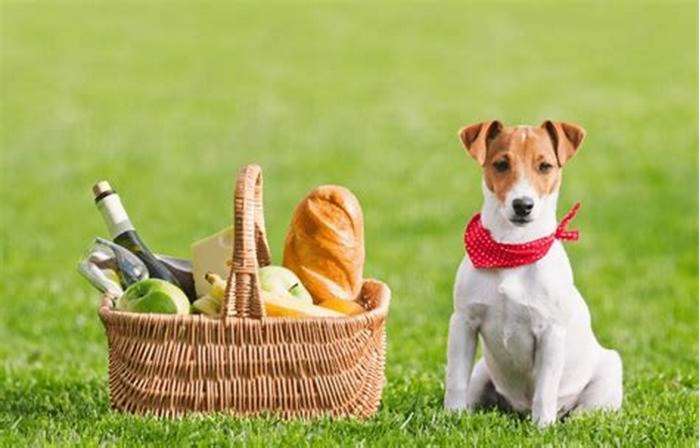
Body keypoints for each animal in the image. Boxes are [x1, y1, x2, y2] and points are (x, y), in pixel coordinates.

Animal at [442, 120, 624, 428]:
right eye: (501, 164)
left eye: (545, 166)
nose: (523, 205)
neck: (513, 249)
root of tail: (518, 410)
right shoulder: (463, 323)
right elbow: (455, 379)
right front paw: (451, 420)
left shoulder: (550, 333)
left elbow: (545, 389)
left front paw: (542, 428)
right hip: (481, 372)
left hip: (608, 376)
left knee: (582, 411)